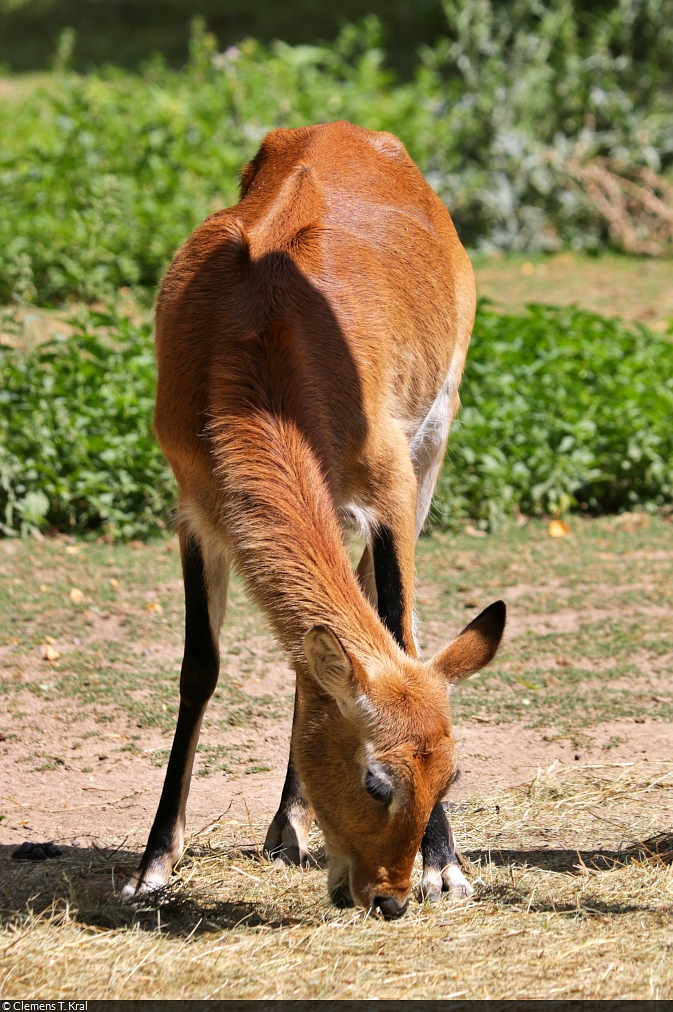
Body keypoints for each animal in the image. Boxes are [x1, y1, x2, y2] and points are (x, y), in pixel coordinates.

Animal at [121, 118, 503, 918]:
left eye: (450, 774)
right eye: (377, 780)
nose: (388, 897)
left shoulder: (389, 491)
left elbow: (399, 637)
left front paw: (446, 868)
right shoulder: (196, 506)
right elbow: (199, 667)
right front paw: (152, 865)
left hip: (432, 446)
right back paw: (283, 827)